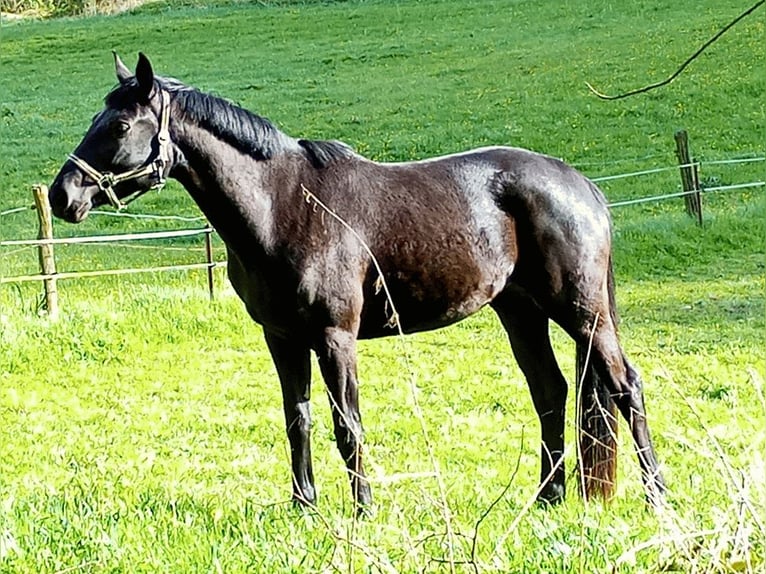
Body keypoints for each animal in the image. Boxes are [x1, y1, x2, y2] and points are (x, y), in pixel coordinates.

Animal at [48, 54, 664, 510]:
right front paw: (305, 506)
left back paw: (657, 497)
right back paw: (547, 499)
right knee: (551, 393)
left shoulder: (335, 337)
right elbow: (297, 420)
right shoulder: (282, 338)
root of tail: (579, 183)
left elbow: (348, 426)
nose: (62, 195)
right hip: (521, 311)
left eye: (119, 125)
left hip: (582, 311)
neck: (284, 206)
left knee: (625, 387)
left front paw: (363, 509)